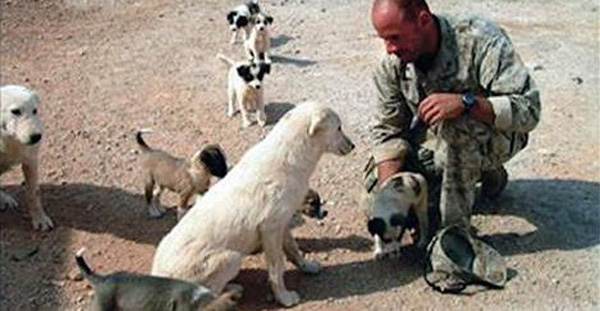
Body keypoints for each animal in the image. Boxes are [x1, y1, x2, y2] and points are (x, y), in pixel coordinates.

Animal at [0, 85, 52, 232]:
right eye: (15, 111)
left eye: (35, 111)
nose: (36, 137)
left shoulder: (31, 162)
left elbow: (33, 193)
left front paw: (40, 219)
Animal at [152, 102, 354, 308]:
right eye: (339, 128)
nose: (353, 146)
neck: (291, 158)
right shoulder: (270, 228)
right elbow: (276, 269)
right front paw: (284, 298)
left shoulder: (282, 222)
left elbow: (293, 249)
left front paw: (307, 266)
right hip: (231, 259)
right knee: (207, 296)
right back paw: (233, 290)